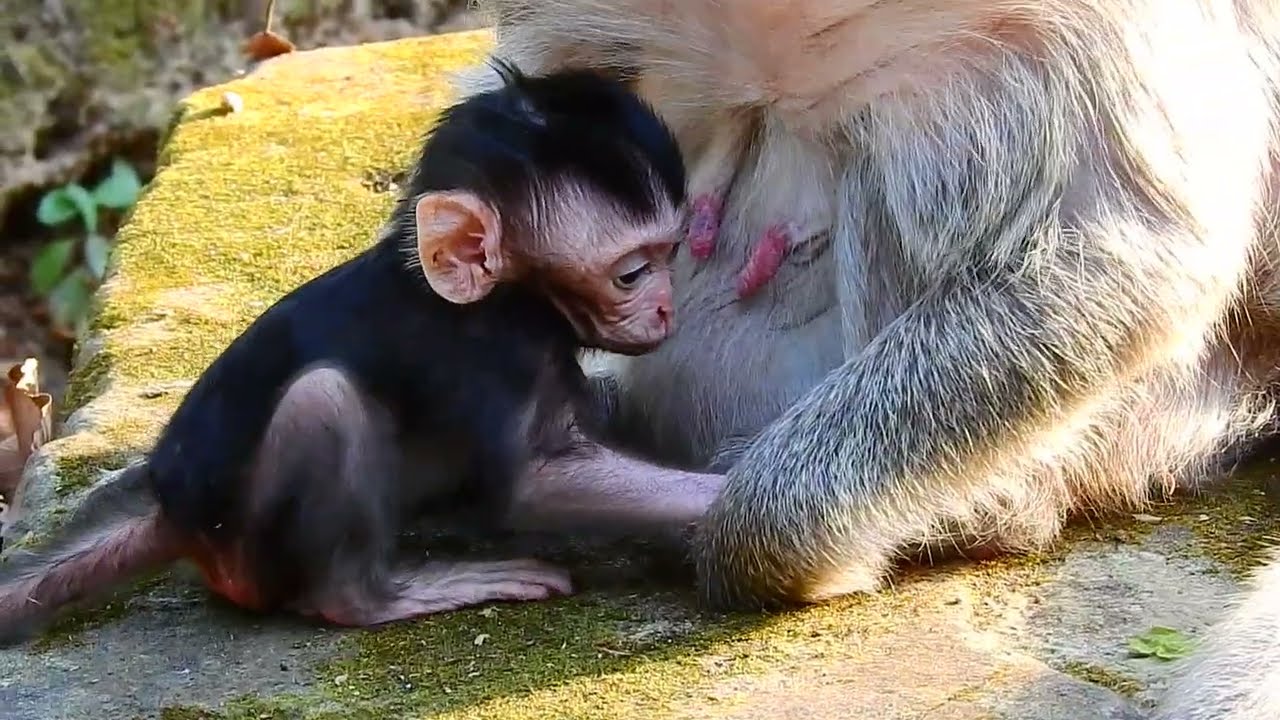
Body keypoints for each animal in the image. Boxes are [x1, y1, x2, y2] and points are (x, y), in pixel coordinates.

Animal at [0, 59, 710, 643]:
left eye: (670, 255)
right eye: (632, 273)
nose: (666, 307)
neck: (501, 299)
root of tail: (176, 509)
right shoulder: (491, 352)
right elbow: (532, 483)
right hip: (249, 551)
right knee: (326, 397)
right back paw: (370, 598)